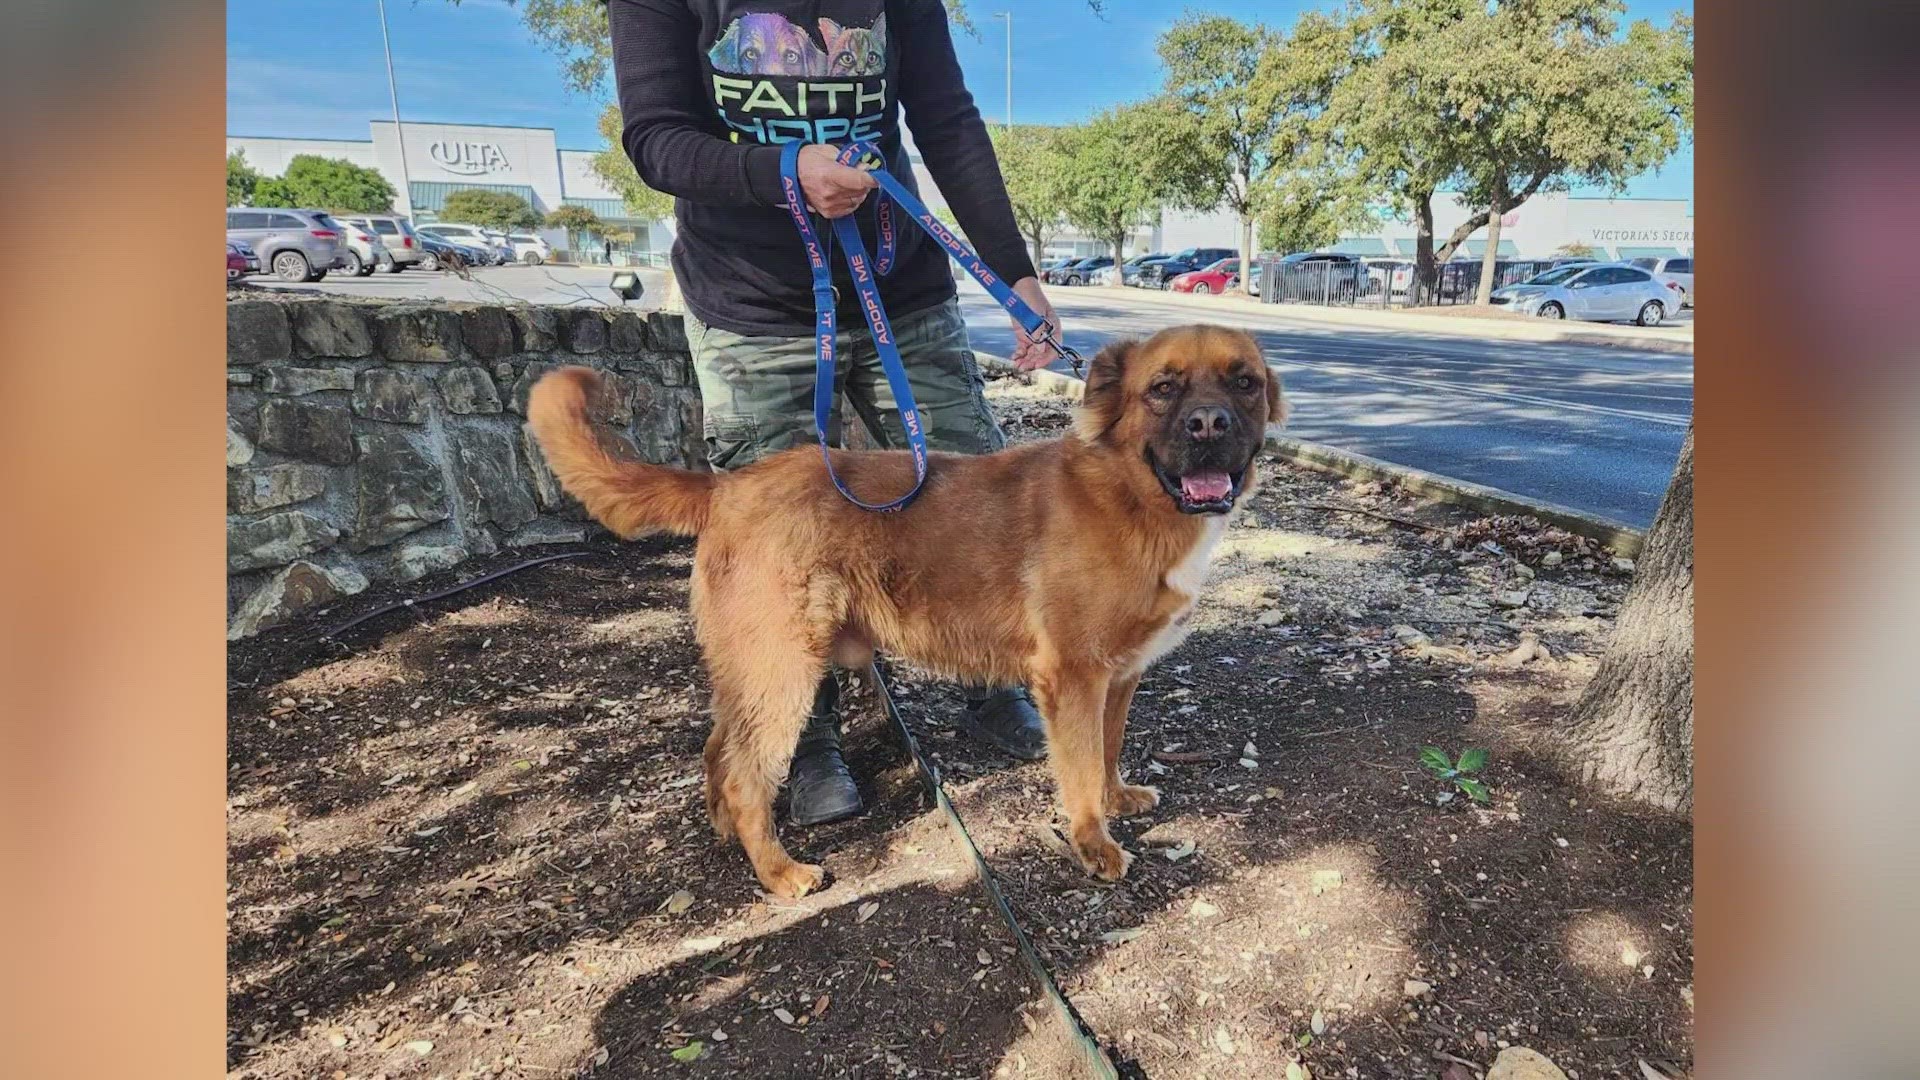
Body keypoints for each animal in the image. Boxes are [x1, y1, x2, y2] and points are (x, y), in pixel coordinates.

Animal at [526, 322, 1282, 895]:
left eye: (1243, 381)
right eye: (1163, 388)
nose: (1209, 423)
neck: (1130, 493)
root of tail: (730, 487)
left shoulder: (1119, 677)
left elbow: (1109, 751)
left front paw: (1119, 796)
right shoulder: (1074, 679)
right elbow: (1081, 772)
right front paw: (1094, 841)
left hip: (752, 670)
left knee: (718, 751)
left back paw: (730, 835)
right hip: (786, 671)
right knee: (745, 775)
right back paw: (778, 872)